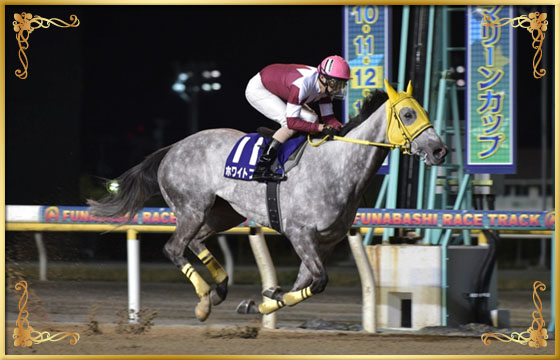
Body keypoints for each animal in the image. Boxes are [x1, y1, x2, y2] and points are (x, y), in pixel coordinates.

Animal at [87, 81, 446, 320]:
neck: (337, 166)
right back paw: (203, 299)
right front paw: (261, 300)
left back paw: (220, 287)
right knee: (174, 248)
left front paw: (263, 300)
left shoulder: (327, 242)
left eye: (424, 110)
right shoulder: (301, 234)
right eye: (408, 113)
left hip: (223, 213)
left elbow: (303, 284)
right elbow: (318, 282)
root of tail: (173, 148)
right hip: (191, 207)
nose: (440, 150)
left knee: (199, 241)